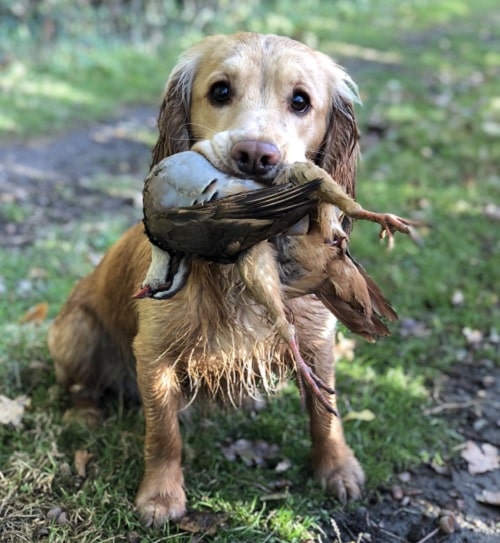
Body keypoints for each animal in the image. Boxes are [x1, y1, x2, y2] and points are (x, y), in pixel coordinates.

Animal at [48, 31, 366, 524]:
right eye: (220, 91)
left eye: (300, 101)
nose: (255, 155)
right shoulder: (154, 354)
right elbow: (164, 434)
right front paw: (161, 496)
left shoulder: (317, 340)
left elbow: (325, 412)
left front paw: (337, 468)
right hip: (75, 332)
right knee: (82, 387)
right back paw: (84, 415)